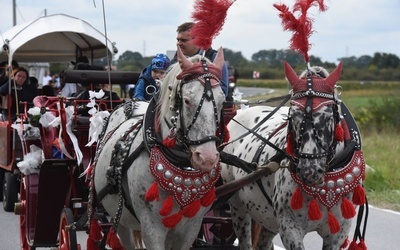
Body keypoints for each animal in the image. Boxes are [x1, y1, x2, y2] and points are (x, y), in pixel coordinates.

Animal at [89, 47, 228, 249]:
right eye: (187, 101)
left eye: (222, 101)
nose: (207, 158)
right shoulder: (152, 227)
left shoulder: (191, 227)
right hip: (119, 216)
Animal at [220, 61, 368, 250]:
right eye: (293, 115)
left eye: (328, 116)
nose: (309, 171)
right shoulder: (289, 227)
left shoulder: (339, 232)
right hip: (238, 206)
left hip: (267, 217)